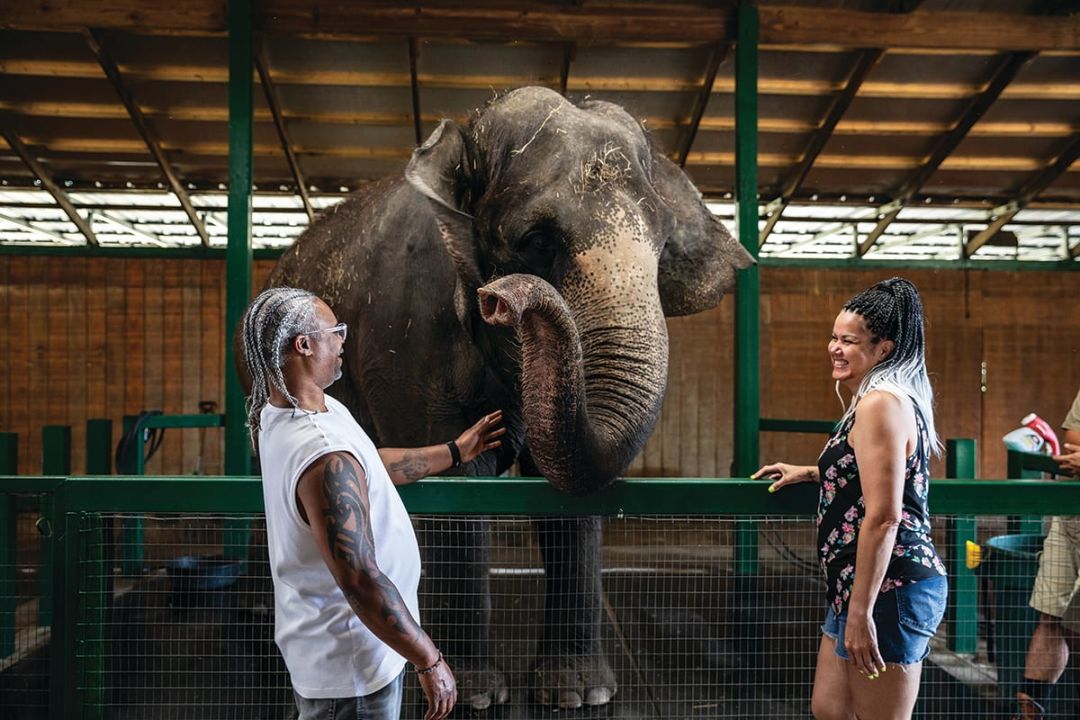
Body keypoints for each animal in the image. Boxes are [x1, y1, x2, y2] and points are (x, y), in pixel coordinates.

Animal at [260, 87, 751, 712]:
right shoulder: (410, 335)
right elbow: (459, 487)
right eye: (537, 242)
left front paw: (578, 693)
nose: (499, 299)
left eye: (664, 248)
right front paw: (473, 695)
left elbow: (562, 490)